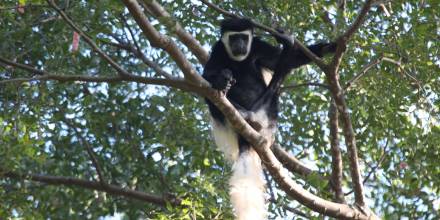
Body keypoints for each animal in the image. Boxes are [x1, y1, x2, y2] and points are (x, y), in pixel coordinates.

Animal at [204, 18, 336, 219]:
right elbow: (207, 75)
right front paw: (221, 79)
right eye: (233, 38)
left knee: (279, 76)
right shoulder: (218, 49)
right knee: (211, 98)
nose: (239, 45)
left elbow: (285, 60)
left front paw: (328, 47)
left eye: (243, 37)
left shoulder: (258, 46)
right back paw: (239, 108)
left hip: (268, 111)